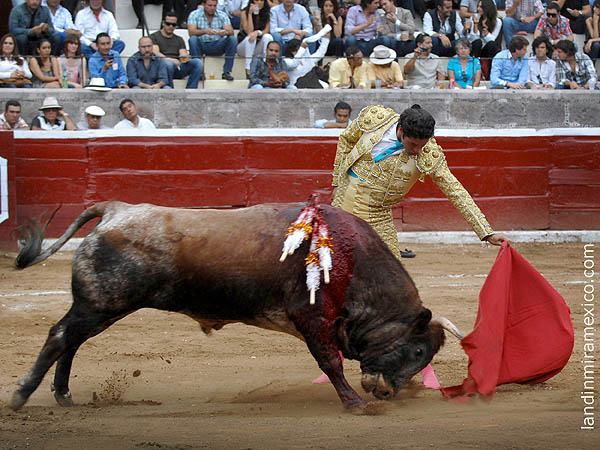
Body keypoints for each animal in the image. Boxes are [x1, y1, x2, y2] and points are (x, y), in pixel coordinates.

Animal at [10, 199, 461, 413]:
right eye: (418, 350)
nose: (387, 392)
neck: (353, 262)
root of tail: (115, 210)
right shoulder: (312, 318)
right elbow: (330, 363)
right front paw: (355, 404)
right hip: (101, 303)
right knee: (61, 336)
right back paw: (21, 396)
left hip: (102, 307)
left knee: (71, 342)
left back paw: (63, 396)